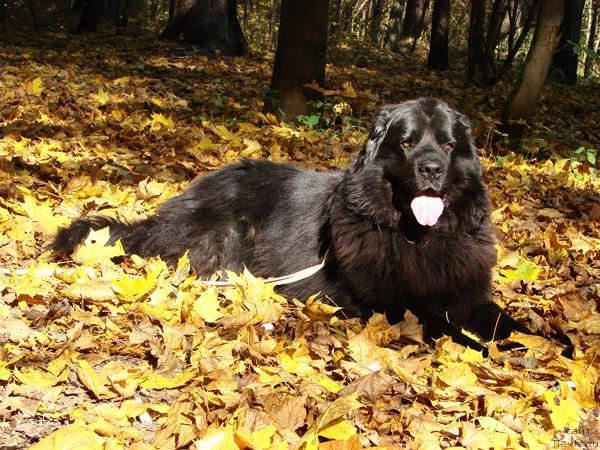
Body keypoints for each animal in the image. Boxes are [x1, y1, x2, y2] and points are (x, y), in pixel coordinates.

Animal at [52, 98, 536, 350]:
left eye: (450, 145)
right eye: (407, 143)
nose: (432, 168)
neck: (417, 238)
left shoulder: (463, 289)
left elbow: (503, 319)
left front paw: (538, 342)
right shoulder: (382, 300)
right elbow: (439, 324)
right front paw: (479, 347)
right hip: (226, 229)